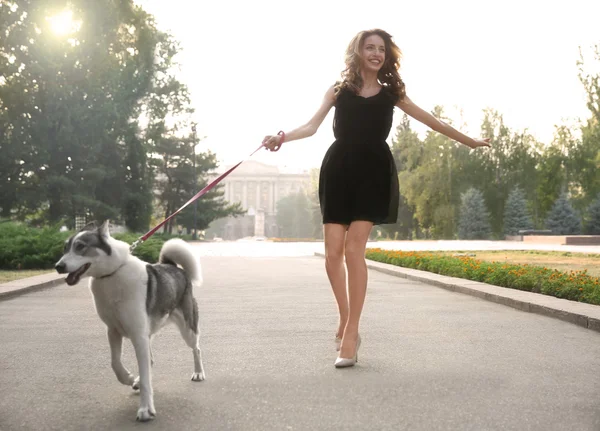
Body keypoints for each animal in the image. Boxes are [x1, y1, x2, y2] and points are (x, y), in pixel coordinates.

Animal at [56, 221, 206, 424]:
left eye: (80, 246)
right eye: (65, 248)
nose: (58, 266)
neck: (111, 275)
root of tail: (172, 266)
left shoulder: (138, 335)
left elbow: (145, 377)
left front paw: (145, 410)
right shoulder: (113, 331)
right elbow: (115, 363)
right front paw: (128, 378)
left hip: (187, 328)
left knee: (196, 349)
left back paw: (198, 373)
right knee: (150, 360)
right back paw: (136, 381)